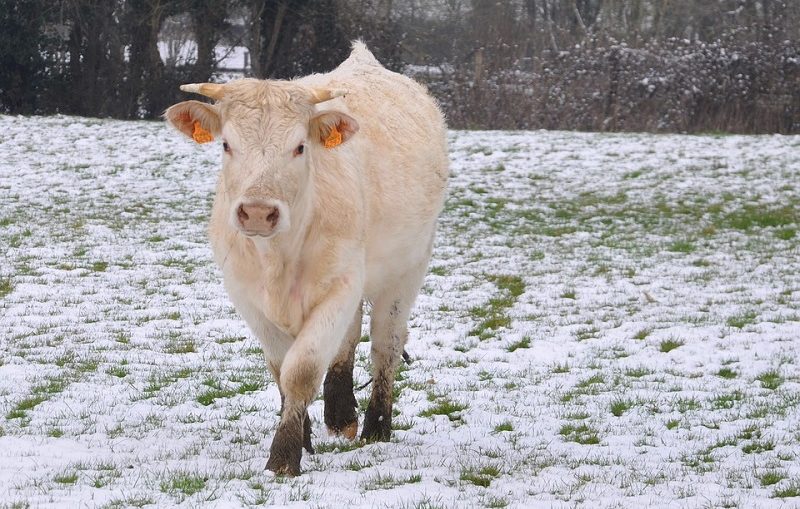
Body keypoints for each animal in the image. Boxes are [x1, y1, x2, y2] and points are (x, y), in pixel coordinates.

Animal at [165, 41, 446, 474]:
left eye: (299, 147)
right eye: (227, 144)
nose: (258, 212)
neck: (277, 256)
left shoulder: (341, 286)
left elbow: (302, 369)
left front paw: (283, 456)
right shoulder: (246, 294)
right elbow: (281, 369)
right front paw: (304, 437)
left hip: (406, 269)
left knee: (386, 343)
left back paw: (375, 426)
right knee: (350, 338)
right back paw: (341, 414)